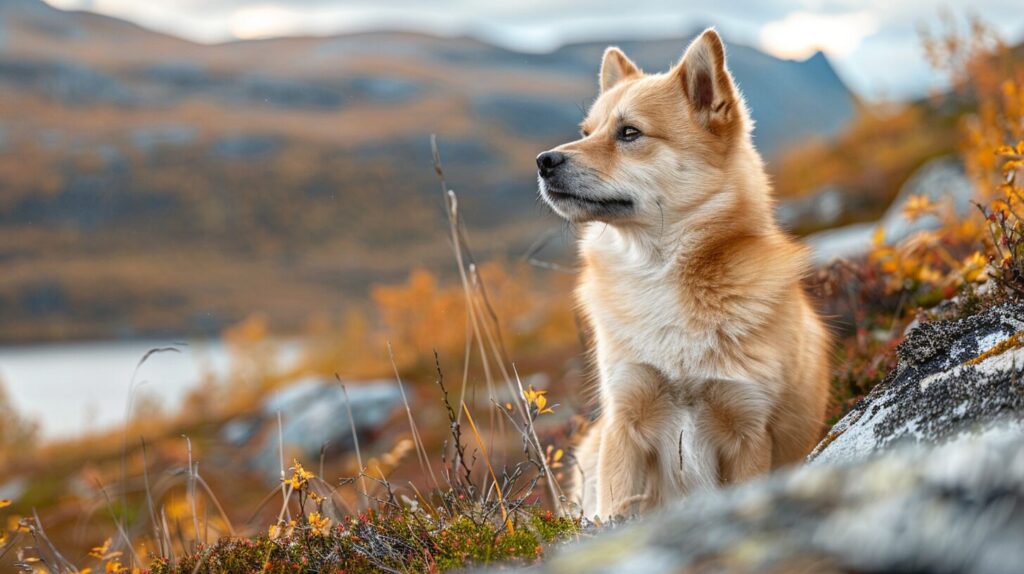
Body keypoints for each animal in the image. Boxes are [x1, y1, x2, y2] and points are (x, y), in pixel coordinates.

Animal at [536, 29, 831, 517]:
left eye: (629, 132)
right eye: (586, 133)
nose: (544, 161)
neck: (658, 273)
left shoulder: (748, 431)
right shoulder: (624, 420)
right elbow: (615, 512)